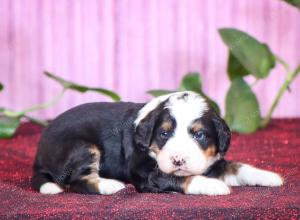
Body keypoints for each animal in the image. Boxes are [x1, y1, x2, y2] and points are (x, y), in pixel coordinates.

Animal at [32, 92, 284, 195]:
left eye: (199, 135)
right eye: (164, 134)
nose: (178, 160)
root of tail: (39, 156)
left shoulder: (211, 163)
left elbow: (238, 167)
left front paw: (269, 176)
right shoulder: (146, 172)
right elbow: (179, 178)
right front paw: (212, 186)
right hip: (82, 147)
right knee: (78, 180)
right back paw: (111, 186)